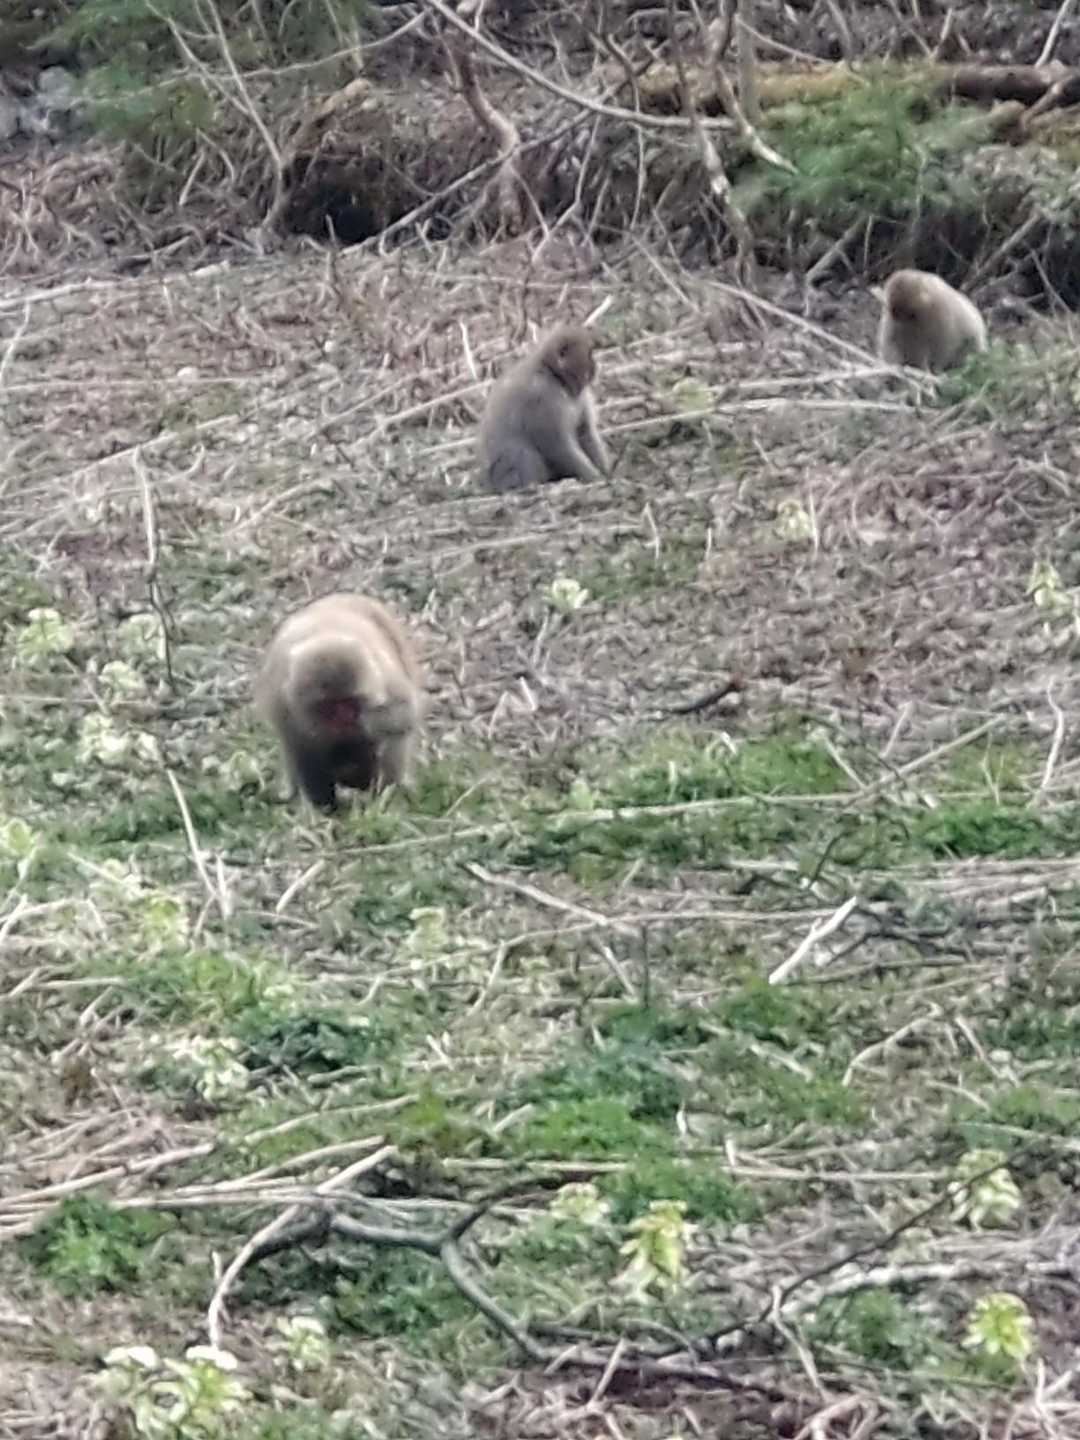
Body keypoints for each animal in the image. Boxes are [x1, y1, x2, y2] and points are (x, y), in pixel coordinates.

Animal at [255, 593, 424, 812]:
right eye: (330, 707)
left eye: (349, 703)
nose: (344, 719)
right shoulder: (281, 700)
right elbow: (299, 745)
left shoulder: (381, 674)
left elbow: (404, 713)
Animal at [478, 324, 611, 493]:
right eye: (590, 354)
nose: (596, 367)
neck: (555, 376)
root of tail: (488, 485)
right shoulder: (541, 398)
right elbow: (555, 445)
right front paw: (594, 477)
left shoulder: (580, 397)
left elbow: (585, 432)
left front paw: (606, 472)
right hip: (505, 473)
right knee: (523, 452)